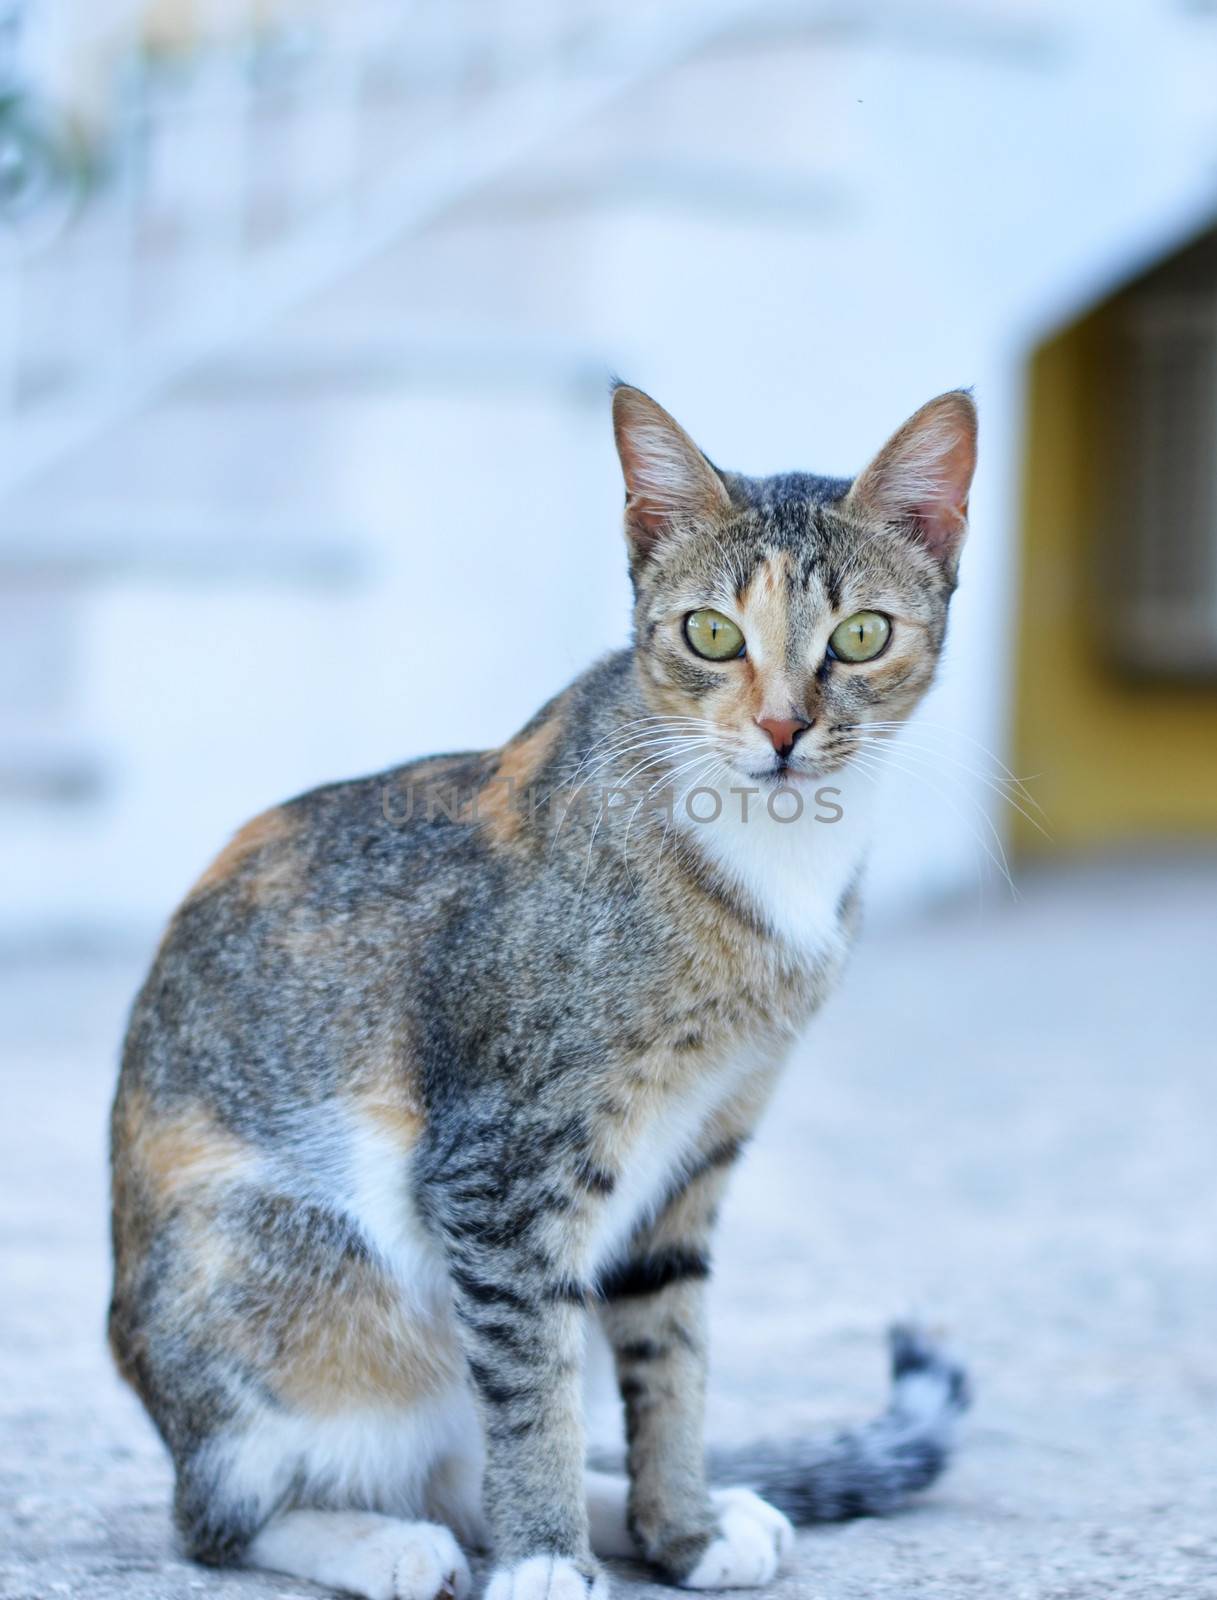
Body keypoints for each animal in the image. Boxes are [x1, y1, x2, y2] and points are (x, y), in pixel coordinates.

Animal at [109, 384, 972, 1600]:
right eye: (711, 633)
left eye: (859, 636)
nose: (781, 730)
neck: (770, 866)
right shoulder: (499, 1167)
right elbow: (531, 1387)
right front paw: (545, 1559)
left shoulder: (699, 1151)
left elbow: (670, 1357)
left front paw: (679, 1525)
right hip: (278, 1271)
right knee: (222, 1515)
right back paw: (382, 1543)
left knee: (450, 1468)